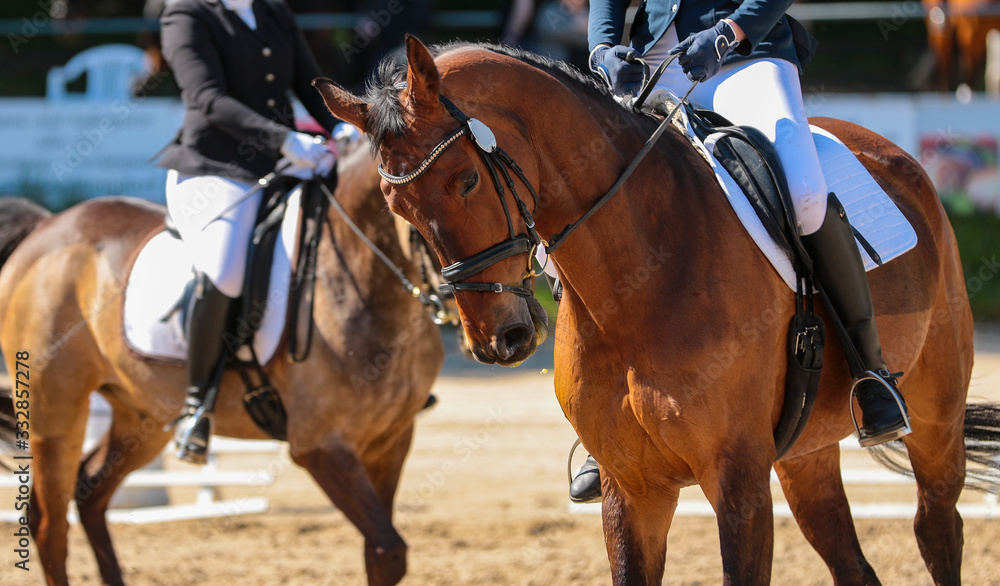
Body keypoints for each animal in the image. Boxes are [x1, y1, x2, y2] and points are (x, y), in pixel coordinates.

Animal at [0, 135, 442, 580]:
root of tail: (47, 225)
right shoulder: (321, 447)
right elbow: (388, 548)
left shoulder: (391, 440)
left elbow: (378, 553)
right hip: (55, 411)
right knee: (49, 522)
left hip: (142, 415)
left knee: (89, 489)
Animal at [312, 37, 992, 584]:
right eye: (394, 204)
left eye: (466, 181)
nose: (498, 339)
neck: (635, 284)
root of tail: (888, 151)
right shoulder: (631, 486)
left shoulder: (738, 481)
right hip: (806, 452)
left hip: (934, 415)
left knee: (937, 528)